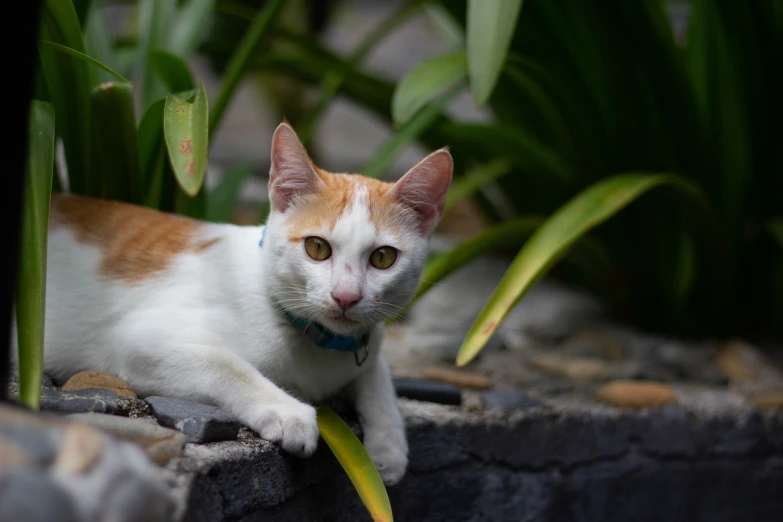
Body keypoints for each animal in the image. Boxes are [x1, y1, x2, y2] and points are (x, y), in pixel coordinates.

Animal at [19, 120, 454, 482]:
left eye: (383, 258)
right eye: (317, 248)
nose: (346, 296)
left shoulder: (368, 345)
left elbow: (378, 379)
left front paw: (389, 447)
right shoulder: (137, 340)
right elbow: (228, 367)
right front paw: (289, 413)